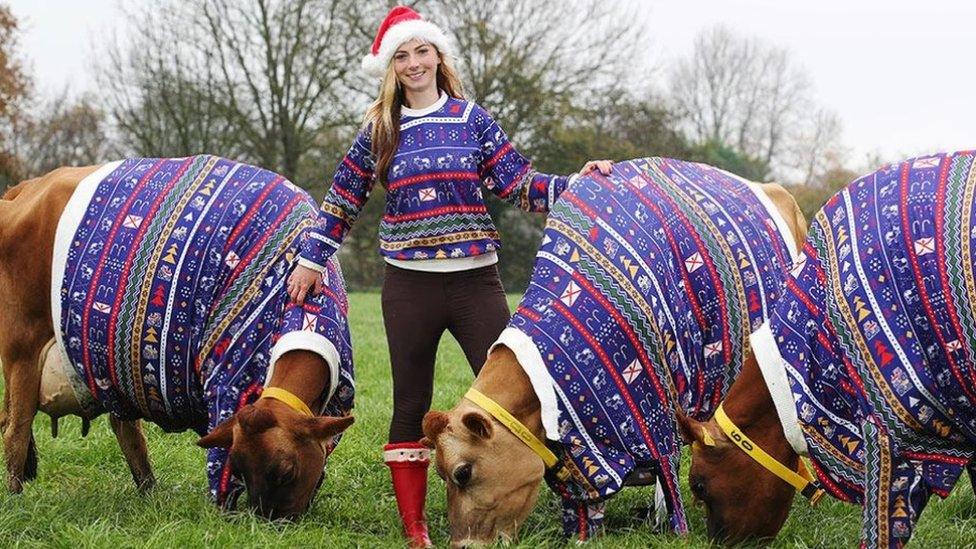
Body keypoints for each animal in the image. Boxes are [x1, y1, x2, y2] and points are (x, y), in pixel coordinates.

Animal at [0, 155, 356, 520]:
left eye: (286, 472)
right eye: (241, 468)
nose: (270, 522)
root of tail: (27, 188)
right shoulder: (228, 381)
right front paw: (224, 511)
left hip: (106, 363)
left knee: (123, 428)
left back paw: (149, 491)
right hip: (22, 352)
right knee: (16, 429)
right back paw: (16, 500)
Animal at [420, 156, 808, 544]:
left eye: (463, 472)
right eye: (440, 474)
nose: (463, 543)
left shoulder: (654, 405)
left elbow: (669, 470)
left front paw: (678, 532)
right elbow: (583, 496)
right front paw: (583, 535)